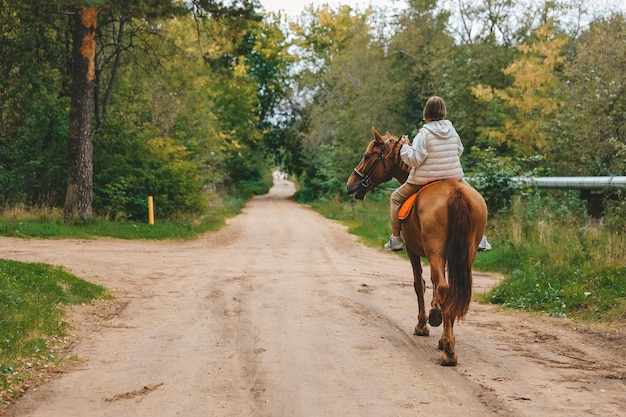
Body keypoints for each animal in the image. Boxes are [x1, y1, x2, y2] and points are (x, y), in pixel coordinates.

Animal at [346, 127, 488, 364]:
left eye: (366, 156)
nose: (350, 185)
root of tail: (455, 193)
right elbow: (434, 284)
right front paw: (436, 315)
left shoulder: (413, 251)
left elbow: (419, 284)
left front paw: (424, 324)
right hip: (466, 253)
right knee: (452, 289)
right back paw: (446, 342)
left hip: (434, 251)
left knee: (443, 287)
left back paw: (449, 352)